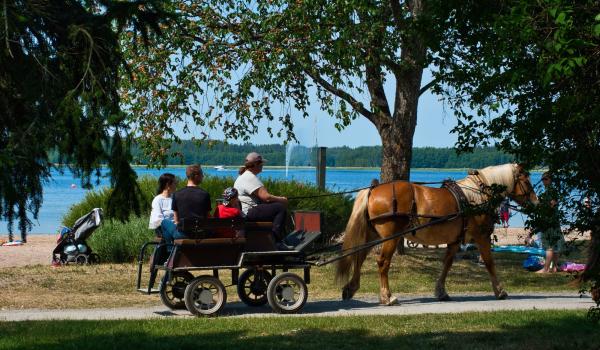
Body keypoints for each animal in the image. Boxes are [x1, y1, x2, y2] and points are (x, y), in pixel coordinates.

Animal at [336, 163, 536, 304]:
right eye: (527, 181)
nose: (536, 201)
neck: (476, 197)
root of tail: (373, 190)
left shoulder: (455, 241)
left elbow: (447, 263)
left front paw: (441, 291)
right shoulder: (482, 237)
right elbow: (489, 263)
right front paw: (500, 290)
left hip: (372, 234)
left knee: (359, 257)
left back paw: (351, 288)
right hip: (390, 237)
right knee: (382, 262)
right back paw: (387, 297)